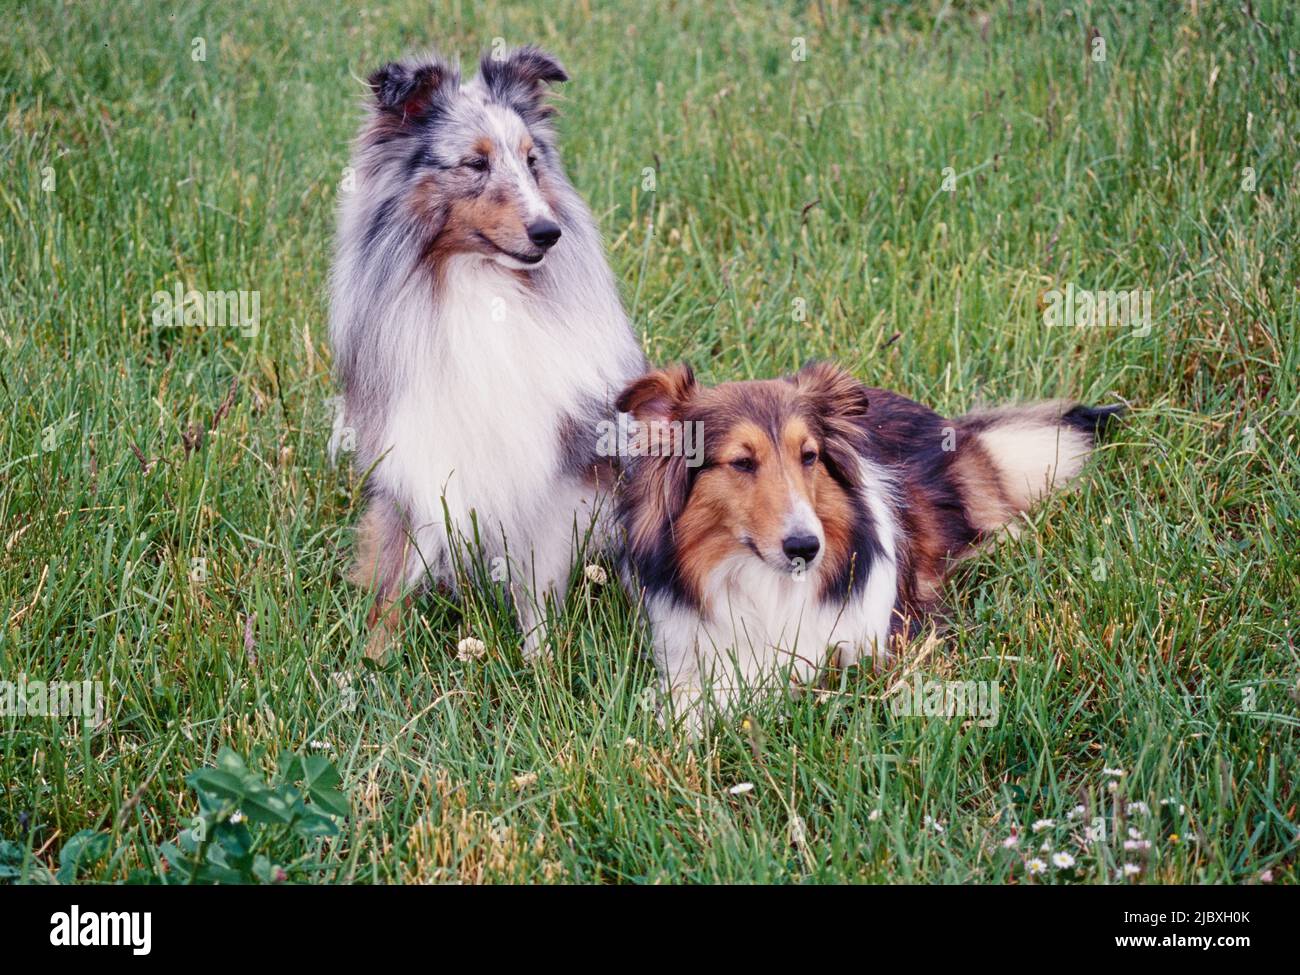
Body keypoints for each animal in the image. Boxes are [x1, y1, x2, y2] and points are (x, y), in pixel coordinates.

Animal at [330, 43, 644, 657]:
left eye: (531, 161)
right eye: (475, 164)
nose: (549, 233)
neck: (477, 280)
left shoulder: (549, 474)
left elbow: (535, 579)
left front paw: (540, 659)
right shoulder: (416, 454)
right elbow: (395, 568)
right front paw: (375, 654)